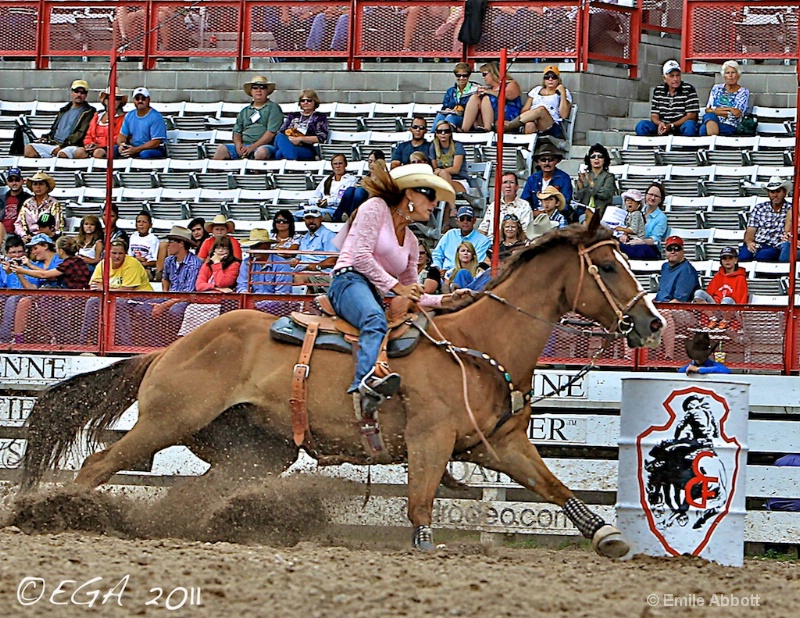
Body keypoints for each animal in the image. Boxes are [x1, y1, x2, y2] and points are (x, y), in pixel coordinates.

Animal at [21, 225, 664, 552]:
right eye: (609, 267)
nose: (653, 322)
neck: (478, 344)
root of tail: (170, 347)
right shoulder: (430, 442)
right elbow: (420, 504)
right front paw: (423, 548)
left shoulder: (501, 444)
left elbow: (553, 485)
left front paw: (606, 533)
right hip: (166, 421)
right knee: (98, 463)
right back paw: (54, 513)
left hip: (257, 450)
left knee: (206, 488)